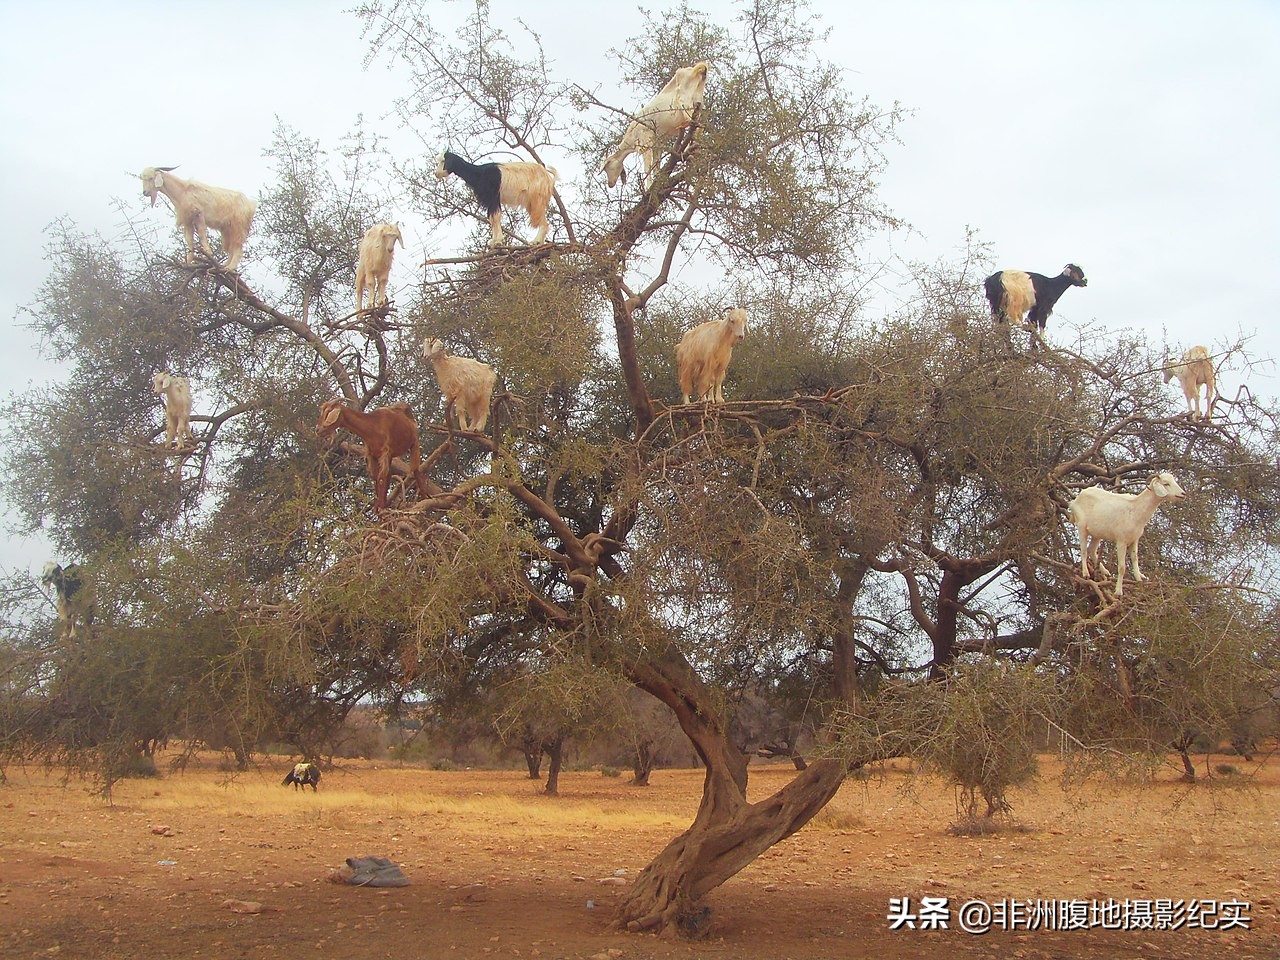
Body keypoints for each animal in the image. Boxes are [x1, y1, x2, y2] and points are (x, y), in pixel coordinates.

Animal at [1064, 471, 1182, 599]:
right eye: (1166, 483)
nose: (1183, 494)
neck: (1136, 509)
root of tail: (1076, 500)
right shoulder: (1121, 541)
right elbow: (1121, 567)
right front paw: (1118, 592)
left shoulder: (1134, 540)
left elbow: (1135, 559)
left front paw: (1139, 579)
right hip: (1081, 527)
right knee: (1084, 550)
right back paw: (1086, 573)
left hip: (1097, 533)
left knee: (1092, 549)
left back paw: (1106, 573)